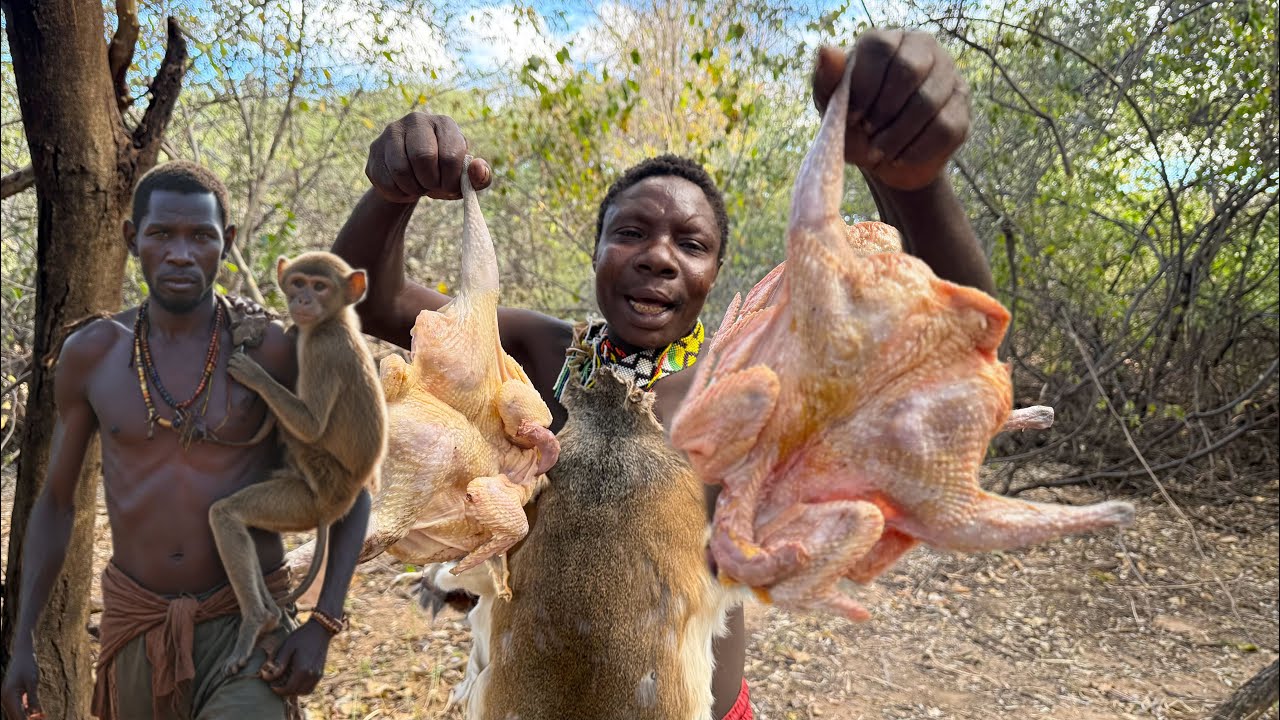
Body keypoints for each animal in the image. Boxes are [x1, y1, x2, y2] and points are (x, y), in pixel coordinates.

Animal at [212, 251, 388, 675]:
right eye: (298, 283)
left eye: (319, 286)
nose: (302, 301)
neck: (332, 321)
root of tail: (339, 500)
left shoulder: (321, 350)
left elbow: (311, 425)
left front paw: (255, 373)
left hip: (313, 491)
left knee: (228, 511)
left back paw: (257, 621)